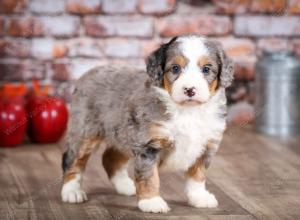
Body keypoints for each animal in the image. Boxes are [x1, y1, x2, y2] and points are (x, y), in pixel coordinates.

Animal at [61, 34, 234, 213]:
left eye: (206, 69)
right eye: (175, 68)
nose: (189, 89)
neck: (187, 111)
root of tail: (90, 71)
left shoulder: (206, 145)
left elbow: (198, 175)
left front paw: (200, 198)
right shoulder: (148, 144)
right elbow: (149, 175)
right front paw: (152, 202)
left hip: (124, 134)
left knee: (109, 158)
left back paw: (125, 186)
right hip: (85, 131)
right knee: (73, 160)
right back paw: (72, 192)